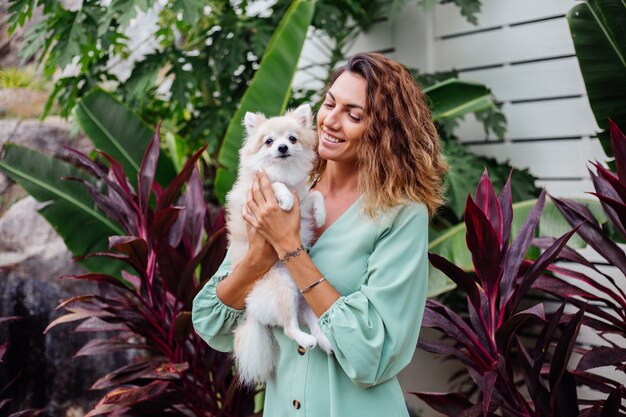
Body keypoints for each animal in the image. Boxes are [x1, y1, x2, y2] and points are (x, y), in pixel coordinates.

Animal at [225, 105, 332, 386]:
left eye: (292, 139)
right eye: (269, 142)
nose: (283, 147)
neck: (285, 173)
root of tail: (251, 308)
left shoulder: (303, 199)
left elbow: (314, 194)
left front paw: (320, 215)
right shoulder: (254, 194)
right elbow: (275, 184)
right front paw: (283, 197)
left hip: (306, 297)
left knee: (312, 321)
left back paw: (325, 340)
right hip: (283, 289)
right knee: (290, 327)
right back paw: (308, 339)